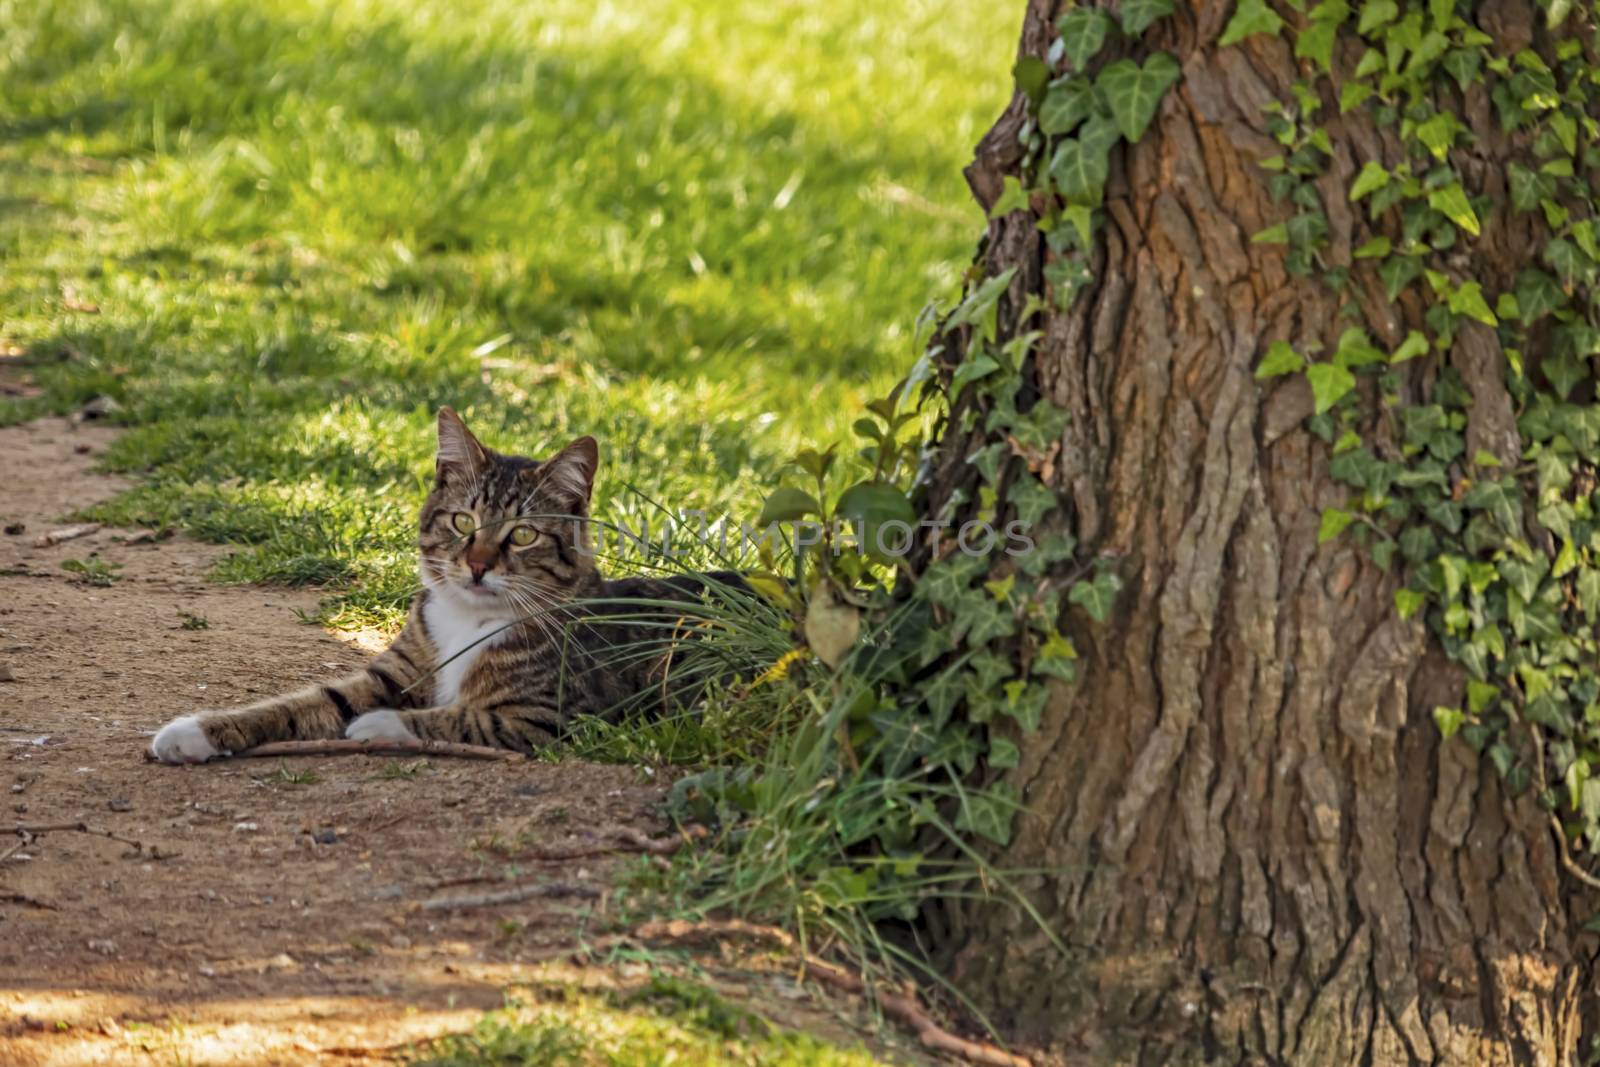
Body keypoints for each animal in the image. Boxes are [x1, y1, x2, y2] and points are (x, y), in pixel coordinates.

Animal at [148, 404, 742, 764]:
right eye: (462, 521)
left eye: (523, 534)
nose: (477, 566)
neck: (468, 621)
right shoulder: (393, 671)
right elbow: (299, 703)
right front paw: (194, 731)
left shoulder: (553, 719)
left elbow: (462, 718)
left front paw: (380, 725)